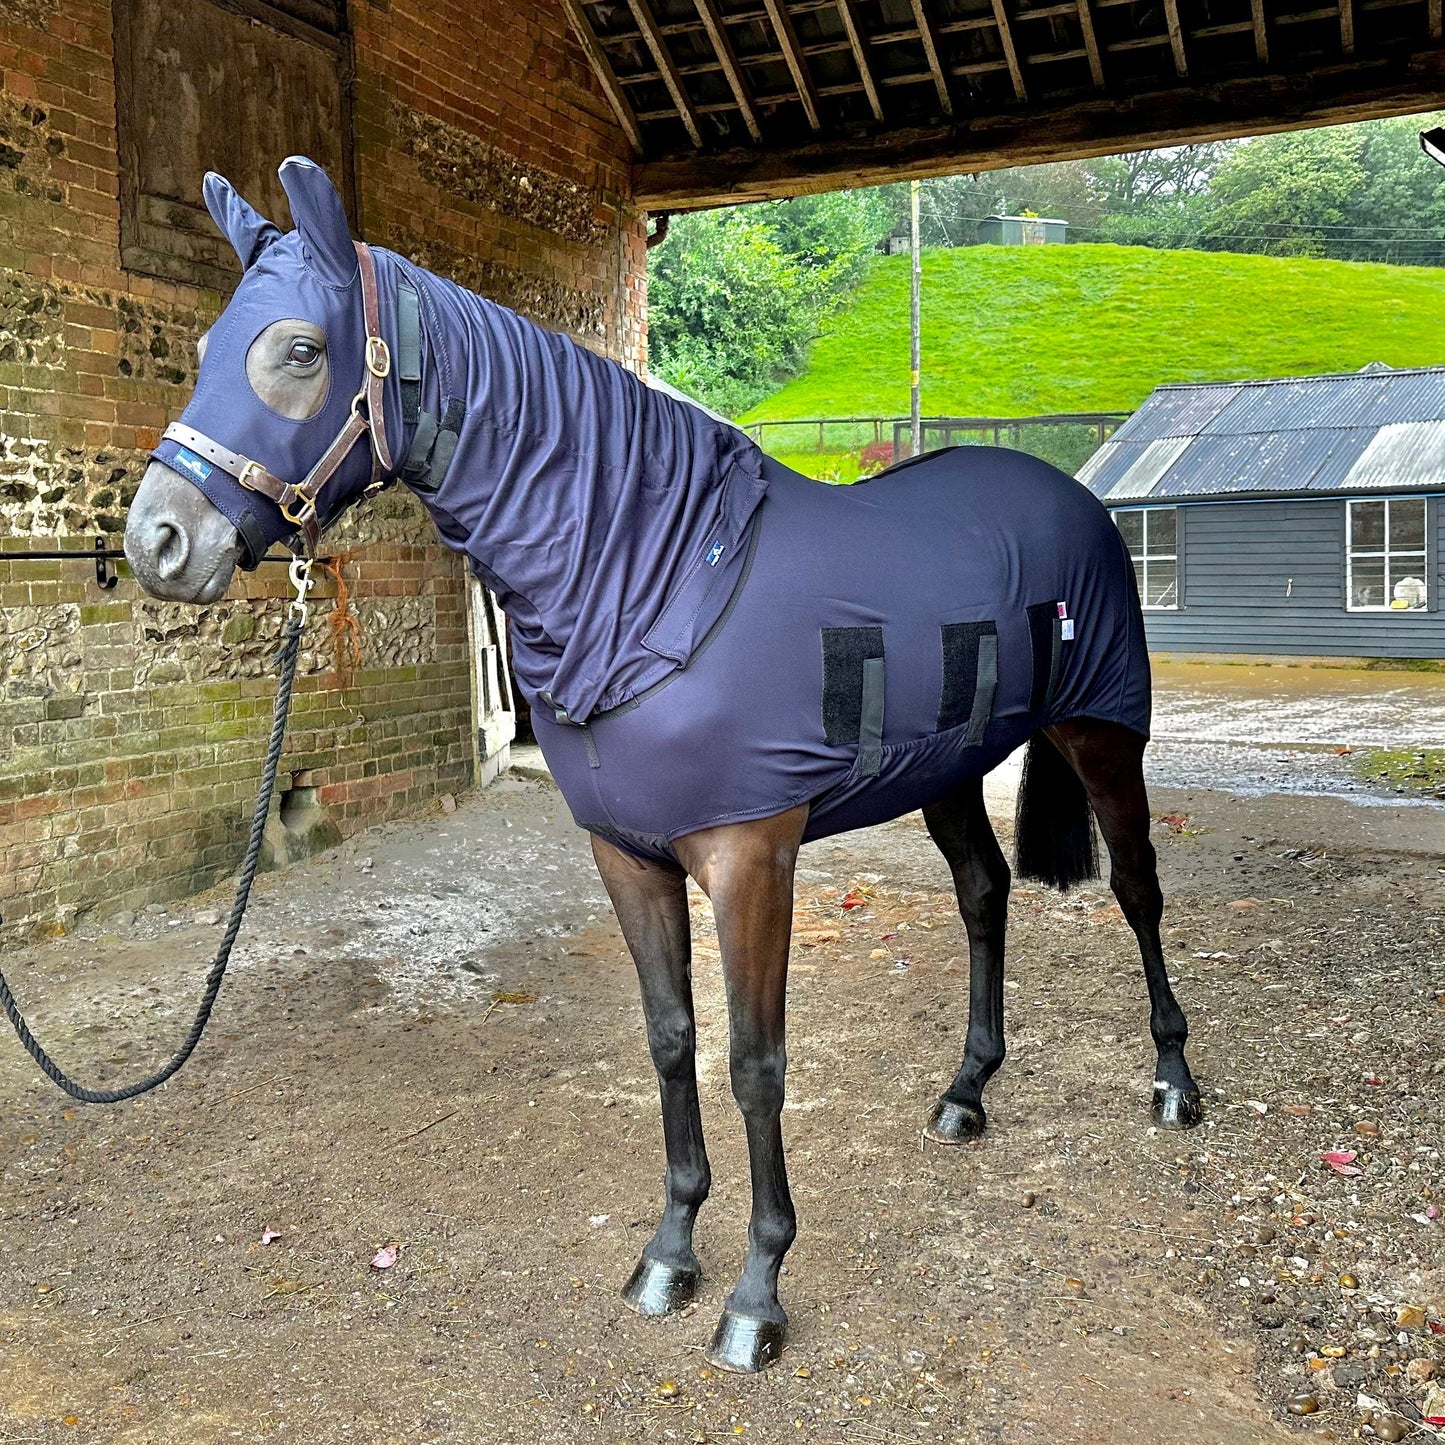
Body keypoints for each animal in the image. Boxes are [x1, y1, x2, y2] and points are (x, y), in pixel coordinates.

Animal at [123, 156, 1202, 1375]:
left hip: (1101, 733)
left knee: (1137, 891)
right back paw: (966, 1091)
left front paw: (756, 1291)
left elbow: (753, 1061)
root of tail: (1070, 495)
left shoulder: (750, 857)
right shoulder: (628, 856)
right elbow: (672, 1041)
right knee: (983, 893)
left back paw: (1172, 1081)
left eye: (301, 349)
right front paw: (669, 1251)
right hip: (945, 770)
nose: (158, 540)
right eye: (208, 342)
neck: (661, 573)